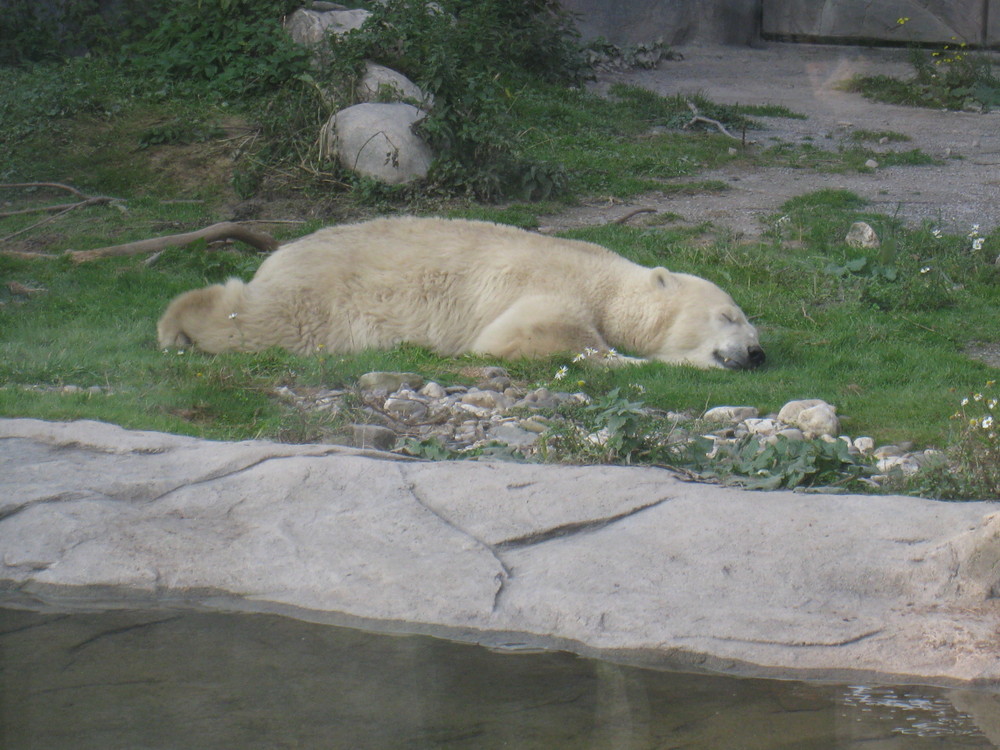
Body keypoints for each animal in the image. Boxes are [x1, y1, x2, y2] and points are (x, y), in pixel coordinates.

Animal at [158, 216, 764, 372]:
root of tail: (280, 255)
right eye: (729, 315)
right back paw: (177, 326)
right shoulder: (550, 289)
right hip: (321, 303)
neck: (605, 280)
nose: (757, 352)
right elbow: (519, 337)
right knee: (257, 322)